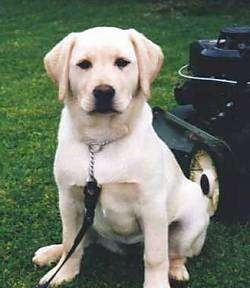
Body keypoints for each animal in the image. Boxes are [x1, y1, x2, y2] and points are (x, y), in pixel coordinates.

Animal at [32, 27, 209, 288]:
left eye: (122, 63)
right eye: (83, 64)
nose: (104, 91)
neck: (100, 141)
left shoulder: (152, 207)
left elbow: (155, 256)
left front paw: (156, 284)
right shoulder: (69, 201)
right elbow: (71, 244)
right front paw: (63, 274)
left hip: (189, 223)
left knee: (174, 253)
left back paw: (176, 270)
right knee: (79, 241)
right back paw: (50, 253)